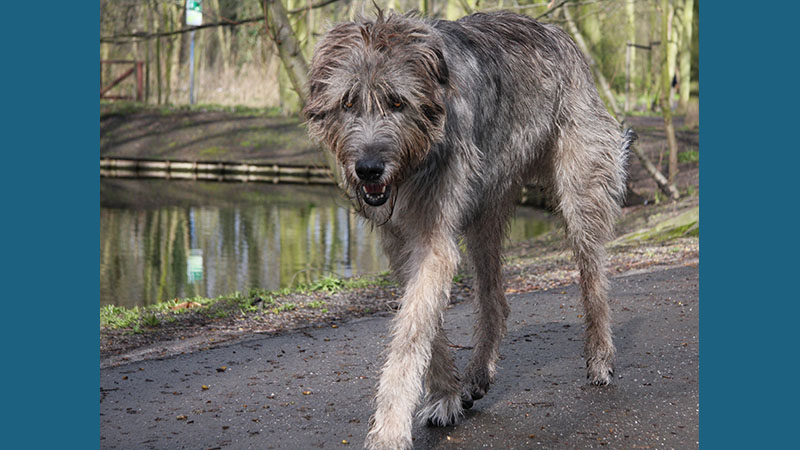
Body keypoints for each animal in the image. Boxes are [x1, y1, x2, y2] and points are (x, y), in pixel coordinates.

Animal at [304, 8, 636, 448]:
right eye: (347, 101)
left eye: (397, 101)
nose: (369, 169)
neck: (418, 157)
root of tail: (559, 34)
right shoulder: (402, 240)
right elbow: (426, 324)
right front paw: (445, 394)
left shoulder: (434, 238)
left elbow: (411, 334)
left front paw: (389, 430)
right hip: (486, 207)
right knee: (494, 296)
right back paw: (478, 373)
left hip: (580, 190)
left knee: (593, 276)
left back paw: (599, 357)